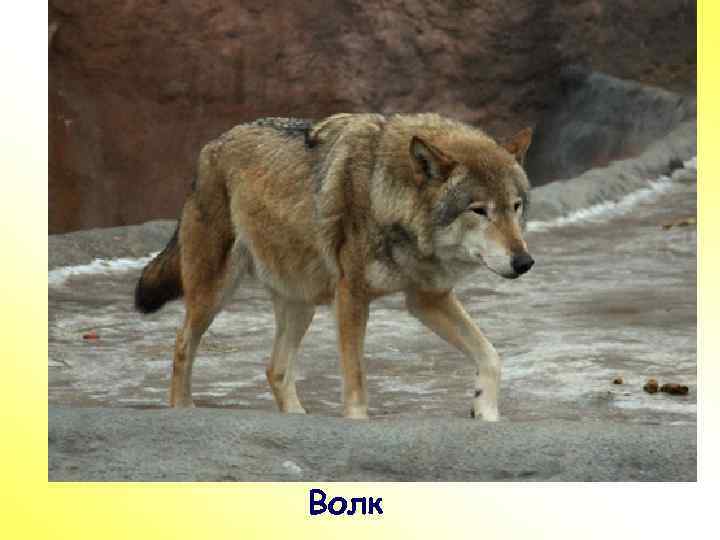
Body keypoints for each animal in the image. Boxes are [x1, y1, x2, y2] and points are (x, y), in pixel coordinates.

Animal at [135, 113, 534, 421]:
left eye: (515, 206)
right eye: (479, 210)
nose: (525, 262)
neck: (386, 196)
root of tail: (210, 146)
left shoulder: (427, 298)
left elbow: (491, 355)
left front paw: (486, 411)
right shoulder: (352, 295)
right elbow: (356, 377)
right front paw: (357, 421)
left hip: (302, 303)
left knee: (275, 369)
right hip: (214, 293)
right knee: (182, 344)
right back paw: (183, 409)